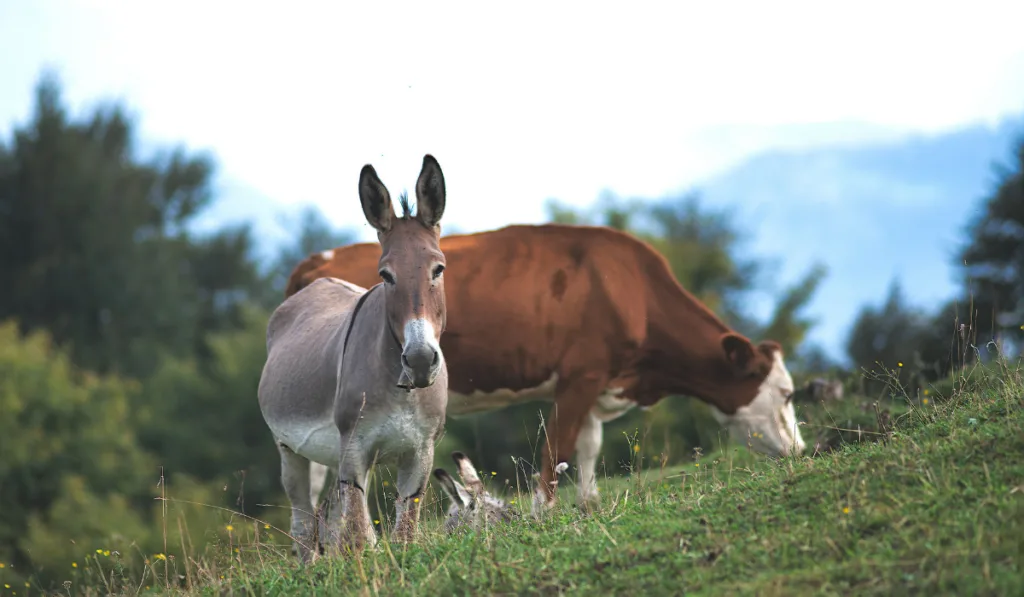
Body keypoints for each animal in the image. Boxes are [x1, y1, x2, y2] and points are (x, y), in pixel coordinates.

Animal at [284, 225, 802, 518]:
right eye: (786, 394)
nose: (802, 450)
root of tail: (317, 261)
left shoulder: (595, 382)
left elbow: (587, 446)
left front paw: (589, 504)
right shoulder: (579, 376)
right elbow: (557, 447)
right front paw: (542, 512)